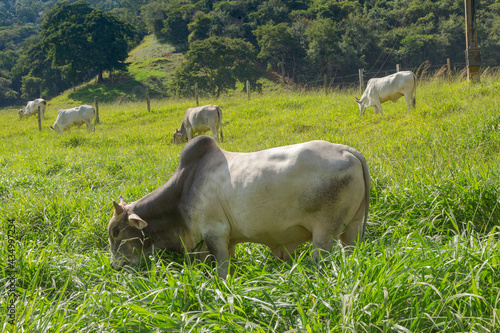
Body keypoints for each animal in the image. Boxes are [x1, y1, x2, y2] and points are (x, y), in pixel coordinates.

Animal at [107, 135, 370, 278]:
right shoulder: (225, 242)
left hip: (324, 234)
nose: (114, 266)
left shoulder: (215, 233)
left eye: (116, 232)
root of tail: (348, 151)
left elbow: (222, 271)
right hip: (353, 230)